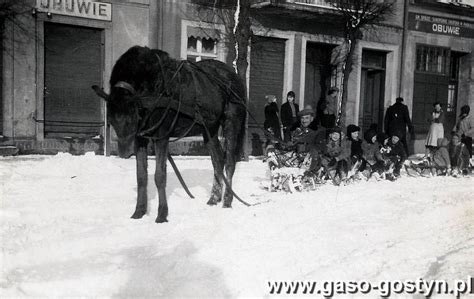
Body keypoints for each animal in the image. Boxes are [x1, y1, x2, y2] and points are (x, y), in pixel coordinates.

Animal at [93, 45, 248, 224]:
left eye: (134, 115)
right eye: (110, 118)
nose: (125, 152)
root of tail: (235, 75)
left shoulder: (162, 135)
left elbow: (160, 176)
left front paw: (162, 214)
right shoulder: (140, 138)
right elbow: (141, 176)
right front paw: (139, 212)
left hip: (232, 121)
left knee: (229, 162)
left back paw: (228, 200)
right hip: (209, 128)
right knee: (217, 161)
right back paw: (214, 198)